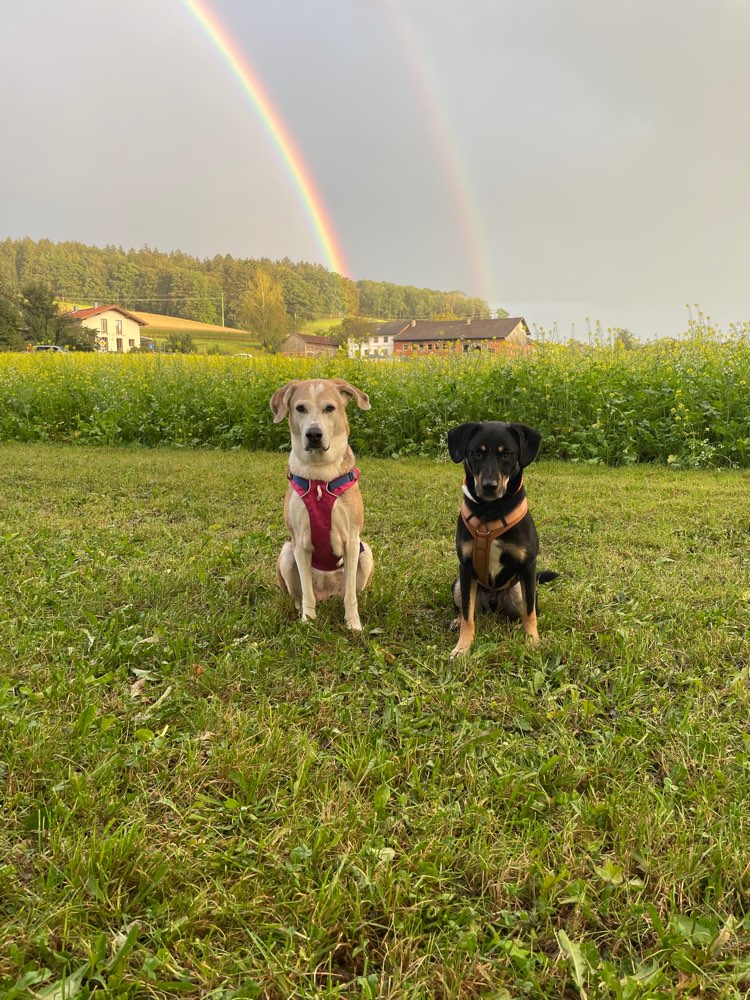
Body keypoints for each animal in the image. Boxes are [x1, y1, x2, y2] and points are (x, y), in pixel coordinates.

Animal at [272, 378, 374, 628]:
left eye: (330, 408)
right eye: (300, 408)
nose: (314, 434)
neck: (319, 477)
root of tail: (327, 595)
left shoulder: (352, 541)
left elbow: (350, 595)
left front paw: (353, 624)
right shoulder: (299, 542)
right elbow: (307, 592)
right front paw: (308, 621)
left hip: (366, 551)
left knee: (352, 592)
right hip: (286, 552)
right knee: (300, 594)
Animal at [446, 420, 560, 660]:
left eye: (507, 454)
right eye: (477, 453)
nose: (489, 486)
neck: (490, 511)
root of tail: (492, 600)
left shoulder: (528, 566)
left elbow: (530, 612)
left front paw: (532, 641)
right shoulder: (466, 567)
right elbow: (468, 615)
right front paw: (463, 646)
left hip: (519, 589)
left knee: (526, 610)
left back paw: (519, 627)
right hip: (458, 584)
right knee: (466, 609)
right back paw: (457, 620)